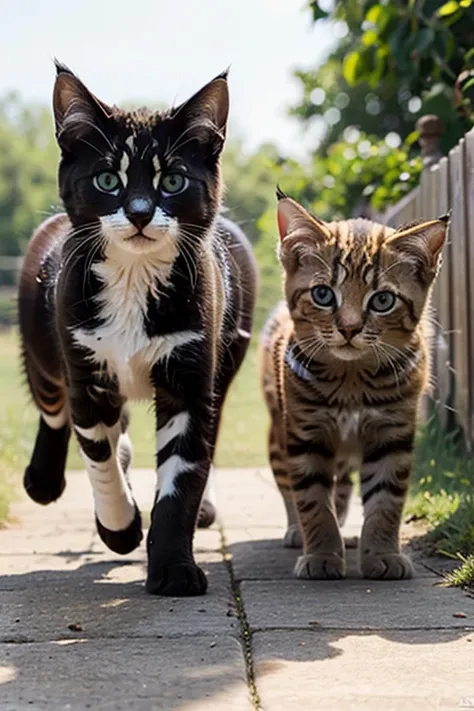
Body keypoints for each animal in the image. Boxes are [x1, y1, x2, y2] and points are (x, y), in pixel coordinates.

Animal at [18, 61, 258, 596]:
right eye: (108, 178)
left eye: (173, 180)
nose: (141, 211)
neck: (133, 280)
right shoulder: (86, 369)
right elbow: (97, 453)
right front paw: (120, 527)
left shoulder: (191, 376)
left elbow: (182, 474)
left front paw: (174, 567)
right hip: (42, 339)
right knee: (53, 407)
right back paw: (42, 480)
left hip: (229, 351)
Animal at [260, 193, 448, 580]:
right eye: (322, 294)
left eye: (382, 300)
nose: (348, 328)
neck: (351, 380)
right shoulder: (305, 431)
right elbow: (312, 498)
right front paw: (320, 554)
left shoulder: (392, 430)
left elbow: (386, 498)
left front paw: (382, 553)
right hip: (278, 432)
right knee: (289, 485)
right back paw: (296, 531)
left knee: (343, 483)